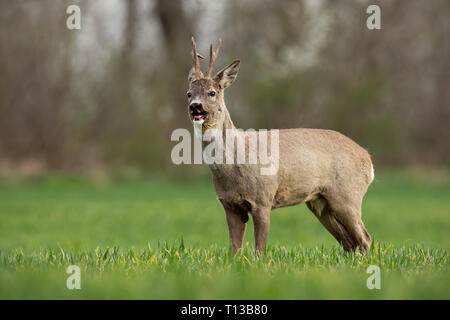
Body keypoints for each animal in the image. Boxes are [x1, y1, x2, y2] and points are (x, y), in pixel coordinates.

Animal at [186, 37, 372, 255]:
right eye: (189, 93)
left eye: (212, 92)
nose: (195, 107)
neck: (235, 164)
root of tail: (368, 158)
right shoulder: (230, 204)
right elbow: (234, 251)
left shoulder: (263, 198)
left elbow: (259, 250)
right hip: (320, 202)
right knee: (349, 242)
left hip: (348, 194)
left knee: (364, 238)